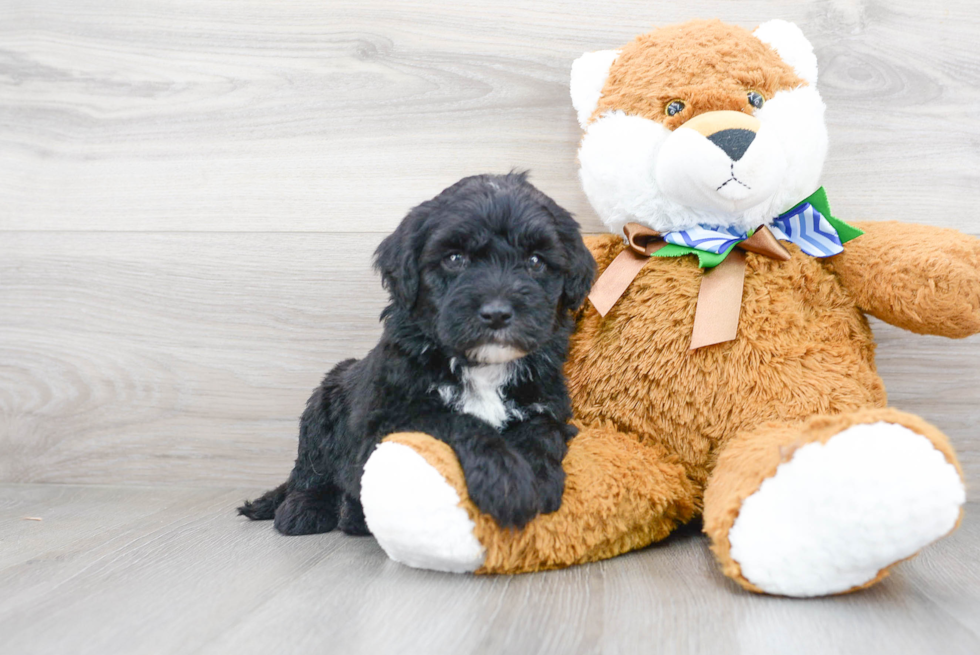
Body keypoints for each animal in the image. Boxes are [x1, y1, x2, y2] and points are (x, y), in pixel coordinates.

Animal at [241, 174, 592, 540]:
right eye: (454, 258)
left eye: (536, 261)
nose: (497, 313)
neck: (482, 367)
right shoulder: (388, 420)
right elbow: (454, 420)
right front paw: (505, 479)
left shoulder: (548, 405)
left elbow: (541, 432)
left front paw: (538, 479)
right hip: (325, 400)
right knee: (311, 468)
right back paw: (305, 509)